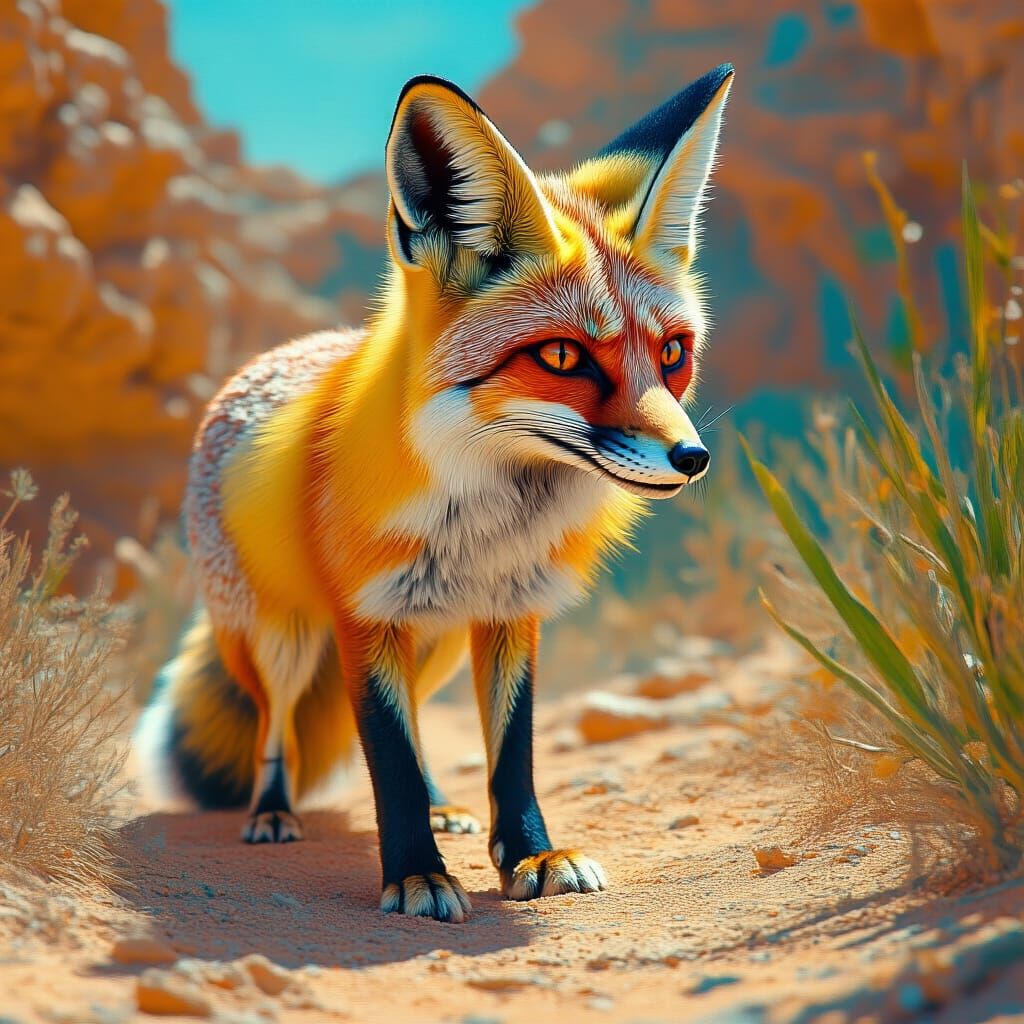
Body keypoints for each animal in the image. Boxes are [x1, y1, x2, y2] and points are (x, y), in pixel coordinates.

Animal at [136, 64, 734, 923]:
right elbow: (385, 755)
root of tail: (266, 362)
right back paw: (273, 812)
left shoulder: (511, 612)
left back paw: (443, 804)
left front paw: (531, 854)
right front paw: (416, 873)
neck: (489, 527)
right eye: (562, 356)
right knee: (277, 728)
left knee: (415, 719)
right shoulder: (363, 619)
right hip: (286, 639)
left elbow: (509, 750)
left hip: (438, 642)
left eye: (674, 353)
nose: (692, 457)